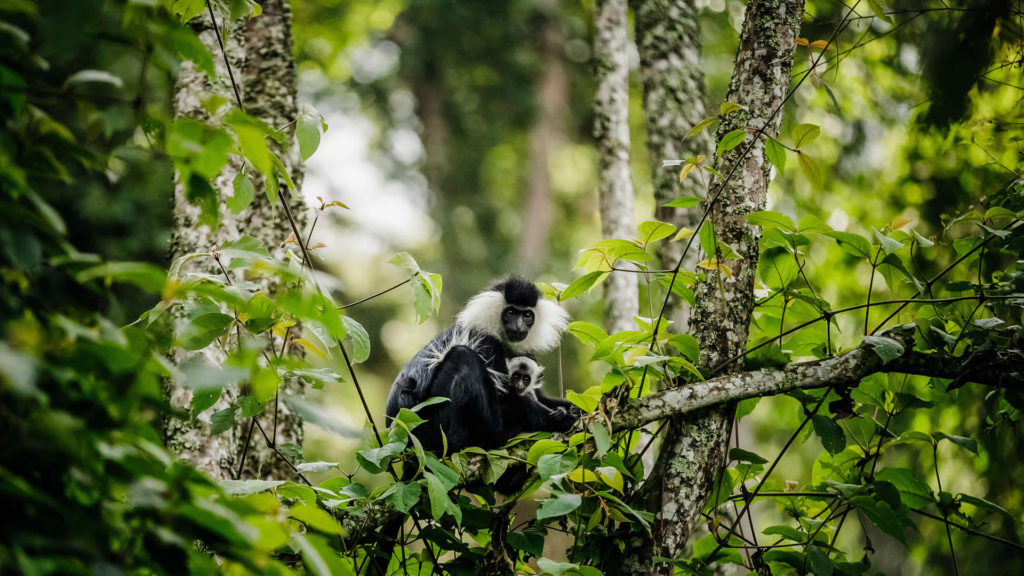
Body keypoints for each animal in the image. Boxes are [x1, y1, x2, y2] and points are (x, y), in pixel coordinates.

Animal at [385, 274, 577, 453]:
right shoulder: (487, 344)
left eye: (527, 315)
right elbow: (507, 398)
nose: (519, 326)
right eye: (510, 313)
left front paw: (572, 408)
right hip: (428, 426)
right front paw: (561, 419)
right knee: (463, 356)